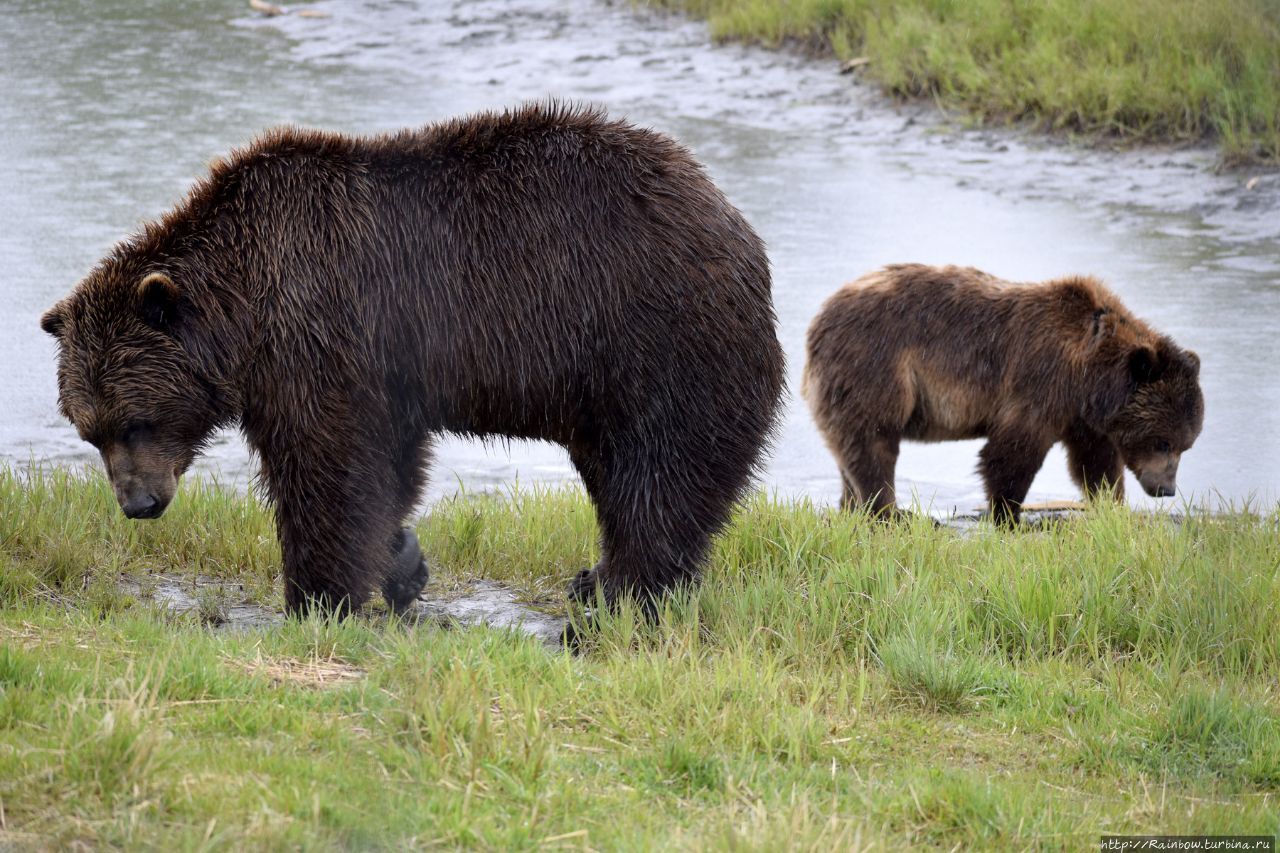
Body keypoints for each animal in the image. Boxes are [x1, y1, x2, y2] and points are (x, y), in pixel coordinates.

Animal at [40, 103, 783, 614]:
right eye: (90, 430)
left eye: (136, 419)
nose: (138, 503)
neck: (242, 310)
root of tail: (738, 226)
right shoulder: (375, 370)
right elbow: (387, 465)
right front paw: (402, 563)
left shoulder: (321, 335)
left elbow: (329, 469)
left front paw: (317, 594)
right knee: (618, 470)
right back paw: (597, 578)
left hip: (653, 339)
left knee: (660, 470)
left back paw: (624, 589)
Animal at [803, 262, 1203, 522]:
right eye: (1163, 442)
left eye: (1186, 445)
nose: (1167, 489)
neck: (1091, 376)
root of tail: (818, 320)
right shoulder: (1041, 381)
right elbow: (1012, 453)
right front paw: (1007, 514)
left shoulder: (1082, 417)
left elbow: (1095, 462)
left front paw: (1111, 505)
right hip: (876, 366)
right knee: (874, 443)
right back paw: (889, 512)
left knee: (850, 449)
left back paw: (852, 506)